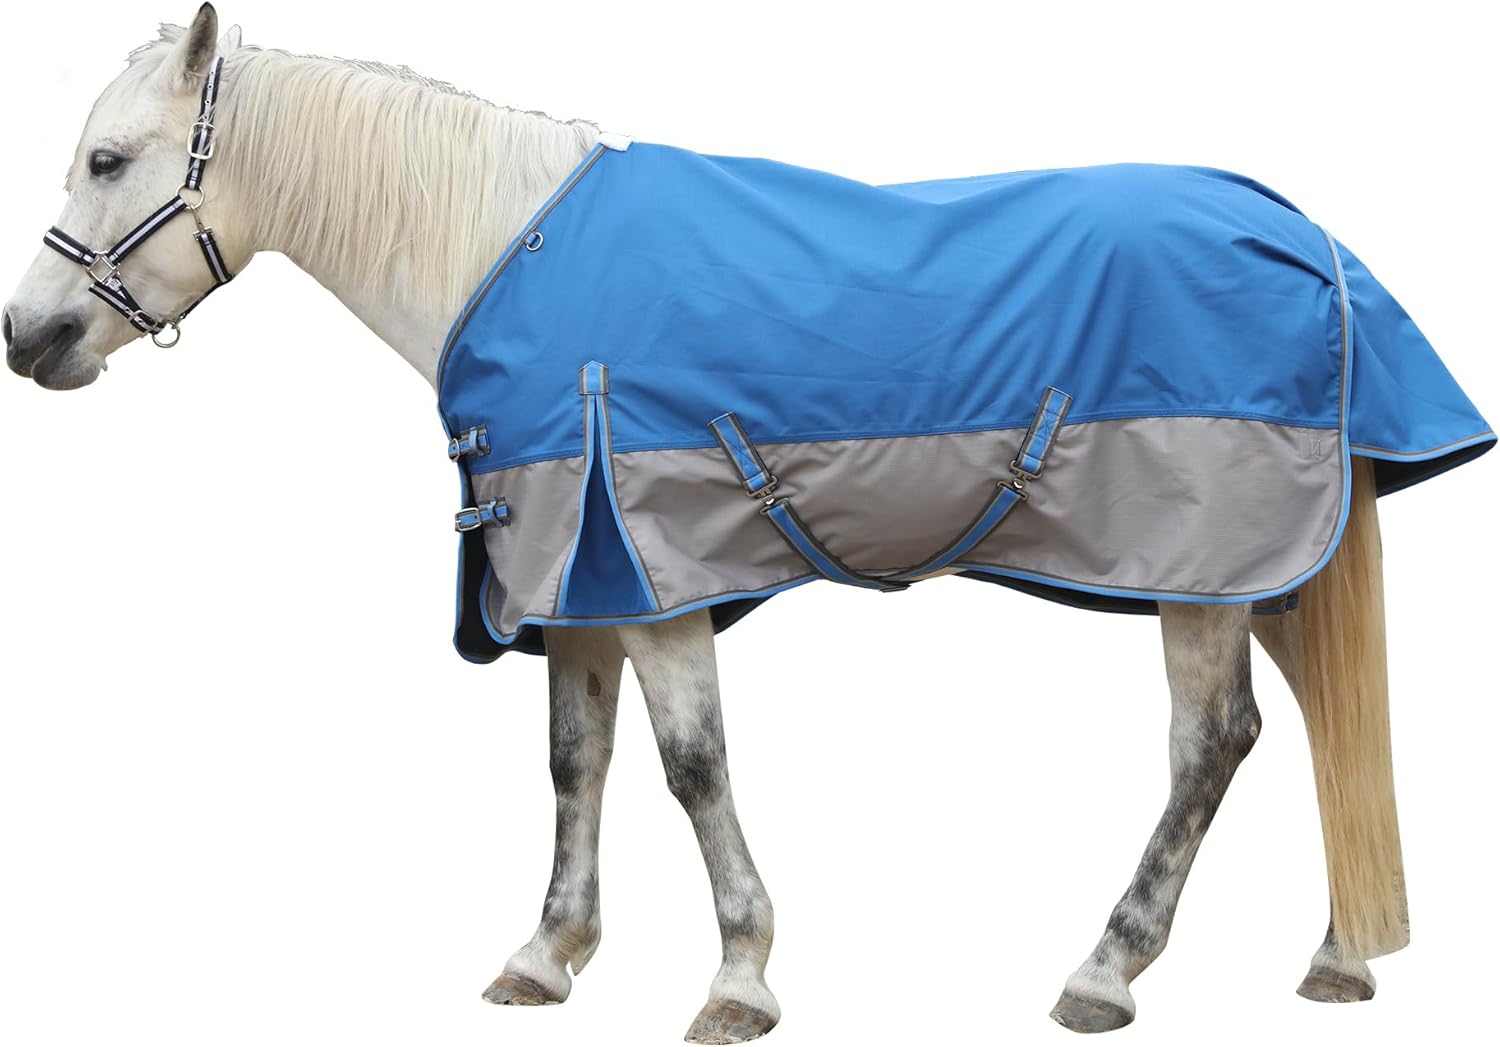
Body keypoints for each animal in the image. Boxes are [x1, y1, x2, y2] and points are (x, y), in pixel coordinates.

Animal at [4, 6, 1491, 1041]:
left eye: (108, 158)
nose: (30, 337)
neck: (504, 249)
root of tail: (1307, 236)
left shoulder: (652, 574)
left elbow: (691, 767)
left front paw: (737, 975)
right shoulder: (578, 577)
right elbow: (576, 765)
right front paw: (545, 954)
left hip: (1206, 566)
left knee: (1212, 742)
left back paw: (1106, 968)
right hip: (1267, 559)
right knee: (1321, 715)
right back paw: (1339, 953)